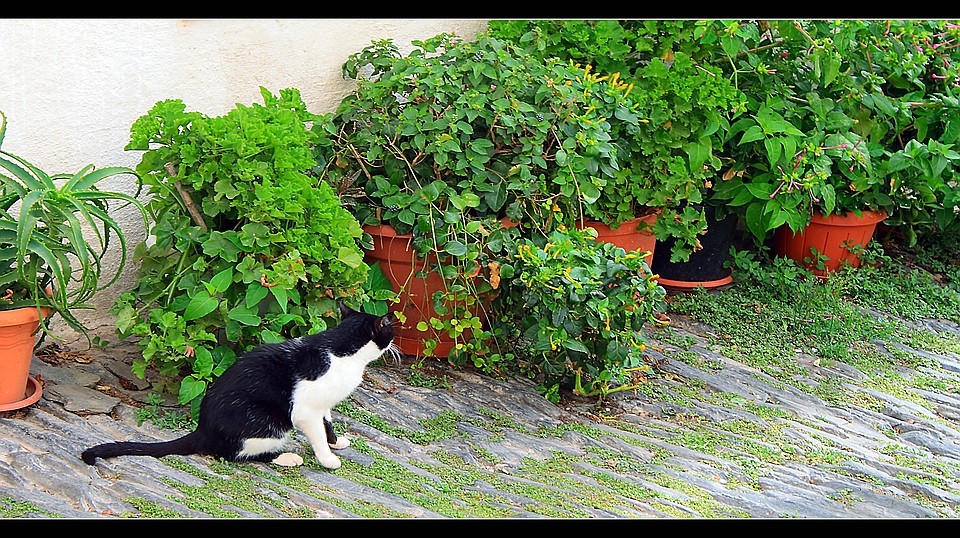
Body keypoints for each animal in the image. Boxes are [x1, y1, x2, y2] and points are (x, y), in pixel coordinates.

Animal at [80, 302, 400, 468]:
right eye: (389, 330)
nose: (394, 344)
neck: (340, 351)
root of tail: (203, 430)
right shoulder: (305, 409)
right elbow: (317, 432)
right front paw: (328, 458)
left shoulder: (324, 404)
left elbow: (327, 423)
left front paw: (336, 442)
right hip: (270, 422)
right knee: (234, 453)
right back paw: (287, 456)